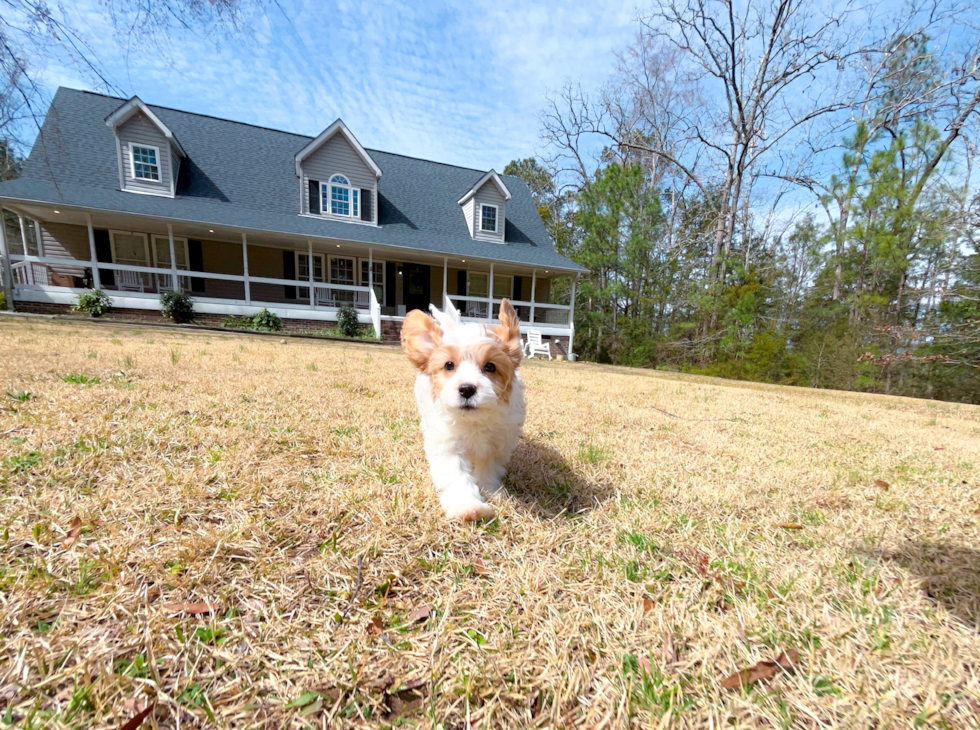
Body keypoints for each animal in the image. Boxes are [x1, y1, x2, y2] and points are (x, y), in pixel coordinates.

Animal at [400, 298, 524, 520]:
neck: (473, 420)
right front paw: (468, 506)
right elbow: (456, 473)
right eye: (449, 365)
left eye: (490, 367)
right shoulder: (447, 444)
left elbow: (488, 468)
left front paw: (491, 491)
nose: (466, 389)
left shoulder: (497, 444)